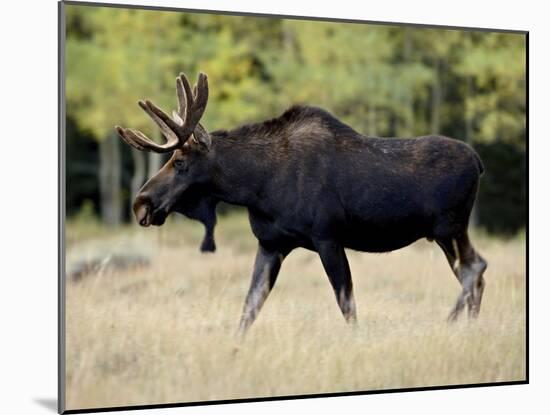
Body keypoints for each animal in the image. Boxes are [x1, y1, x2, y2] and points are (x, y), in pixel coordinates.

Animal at [115, 72, 488, 338]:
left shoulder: (328, 237)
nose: (141, 204)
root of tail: (479, 161)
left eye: (180, 162)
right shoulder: (271, 244)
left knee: (474, 269)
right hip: (447, 231)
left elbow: (346, 302)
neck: (255, 187)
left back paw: (449, 323)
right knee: (475, 270)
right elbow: (249, 307)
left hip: (449, 227)